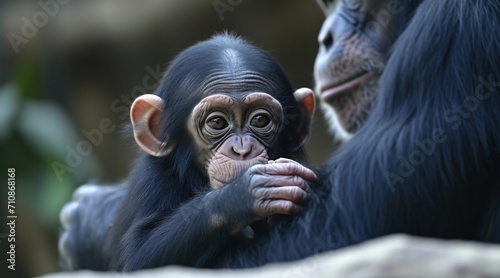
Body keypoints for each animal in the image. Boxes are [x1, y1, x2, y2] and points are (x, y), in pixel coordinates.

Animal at [58, 33, 316, 270]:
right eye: (217, 123)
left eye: (260, 120)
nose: (242, 149)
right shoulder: (153, 178)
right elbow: (140, 256)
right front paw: (243, 193)